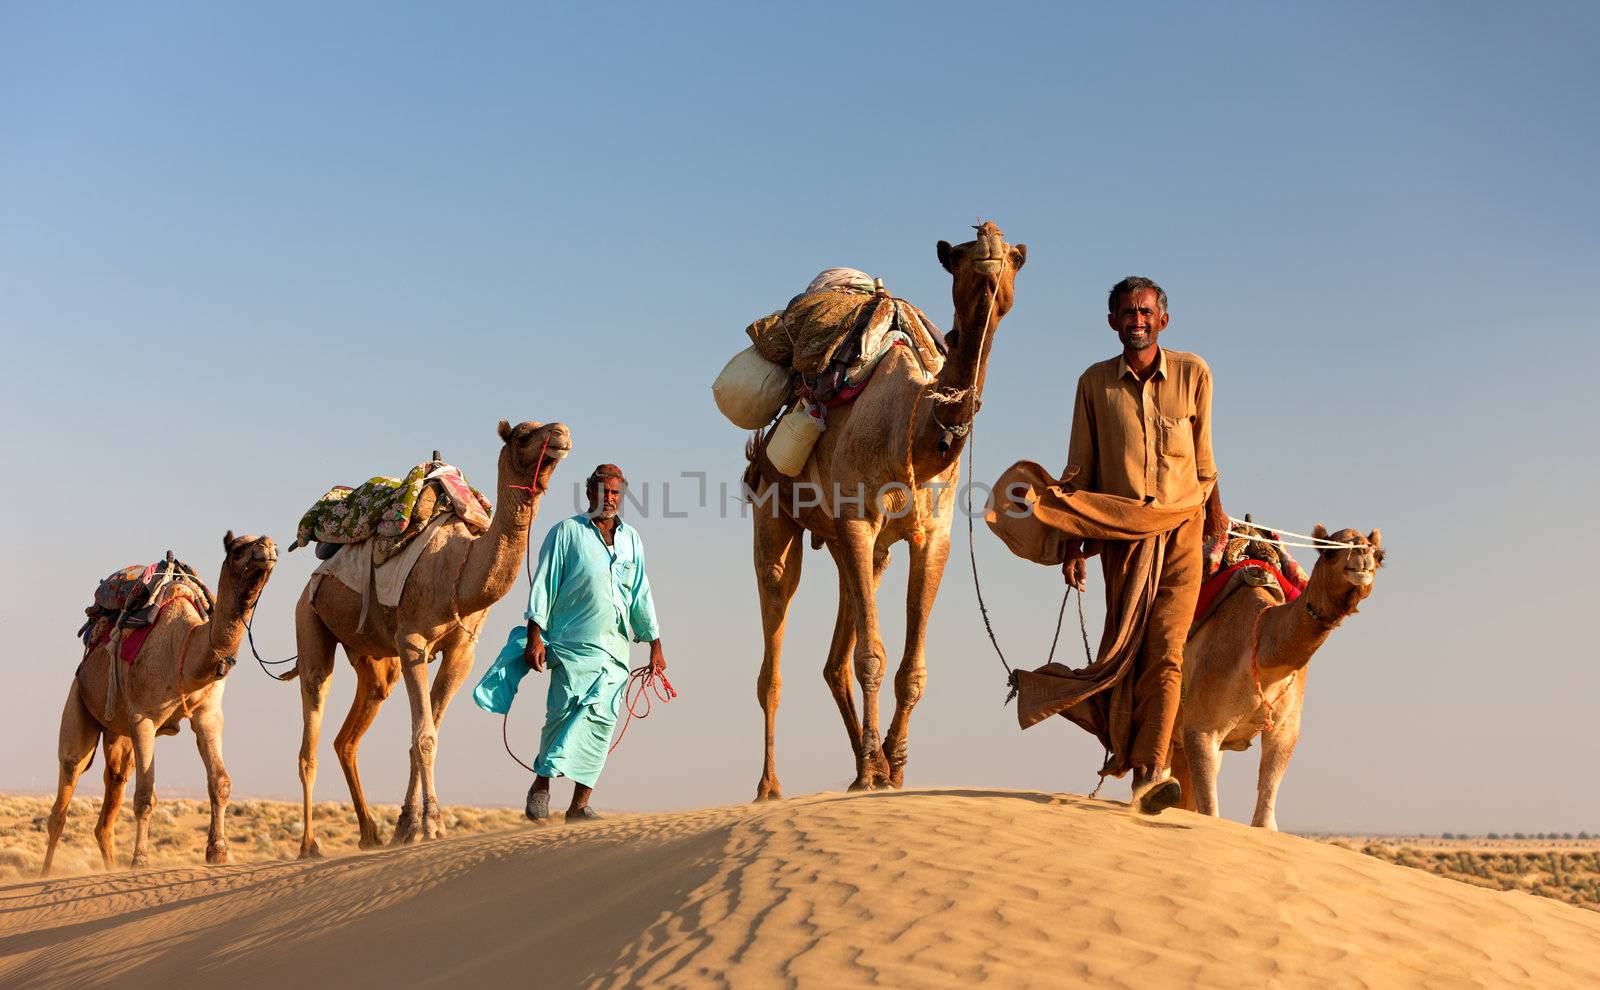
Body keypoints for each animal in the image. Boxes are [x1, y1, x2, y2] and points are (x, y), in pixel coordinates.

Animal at [42, 534, 281, 876]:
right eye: (237, 549)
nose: (267, 546)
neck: (184, 647)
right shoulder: (143, 718)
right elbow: (145, 796)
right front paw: (140, 860)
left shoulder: (208, 715)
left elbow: (220, 782)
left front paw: (218, 852)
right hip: (78, 702)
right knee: (66, 786)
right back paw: (46, 874)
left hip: (119, 734)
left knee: (110, 801)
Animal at [294, 415, 569, 850]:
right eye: (524, 435)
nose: (561, 433)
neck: (459, 567)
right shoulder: (412, 644)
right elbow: (424, 737)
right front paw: (433, 826)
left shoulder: (462, 651)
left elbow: (425, 734)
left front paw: (406, 826)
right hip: (309, 617)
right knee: (312, 723)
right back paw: (309, 846)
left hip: (372, 657)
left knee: (349, 734)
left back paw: (370, 834)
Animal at [745, 220, 1024, 793]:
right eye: (960, 255)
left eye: (1014, 257)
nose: (988, 235)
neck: (912, 432)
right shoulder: (858, 519)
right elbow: (871, 657)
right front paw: (880, 766)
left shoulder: (932, 535)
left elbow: (909, 668)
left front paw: (892, 766)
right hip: (773, 514)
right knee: (774, 651)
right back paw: (770, 786)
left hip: (858, 548)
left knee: (834, 659)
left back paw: (862, 766)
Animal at [1171, 527, 1382, 831]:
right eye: (1329, 551)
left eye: (1380, 555)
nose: (1363, 557)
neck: (1264, 658)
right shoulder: (1201, 727)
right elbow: (1210, 814)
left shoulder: (1285, 729)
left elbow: (1265, 820)